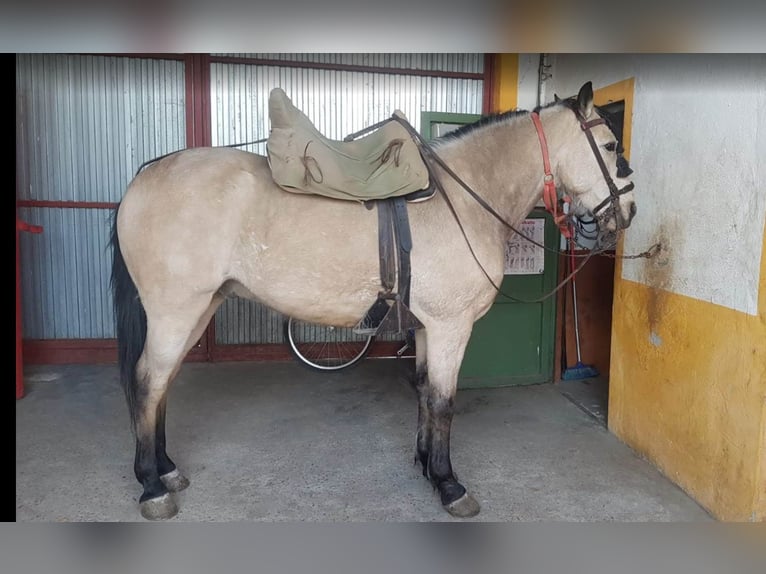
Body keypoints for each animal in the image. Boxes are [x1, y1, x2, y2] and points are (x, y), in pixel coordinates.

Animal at [110, 81, 637, 520]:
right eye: (611, 146)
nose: (629, 210)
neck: (462, 199)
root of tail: (146, 176)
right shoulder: (450, 327)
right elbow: (443, 401)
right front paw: (450, 485)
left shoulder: (427, 327)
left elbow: (424, 391)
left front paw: (426, 466)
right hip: (176, 312)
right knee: (147, 383)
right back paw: (152, 487)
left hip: (198, 310)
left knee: (161, 385)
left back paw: (166, 470)